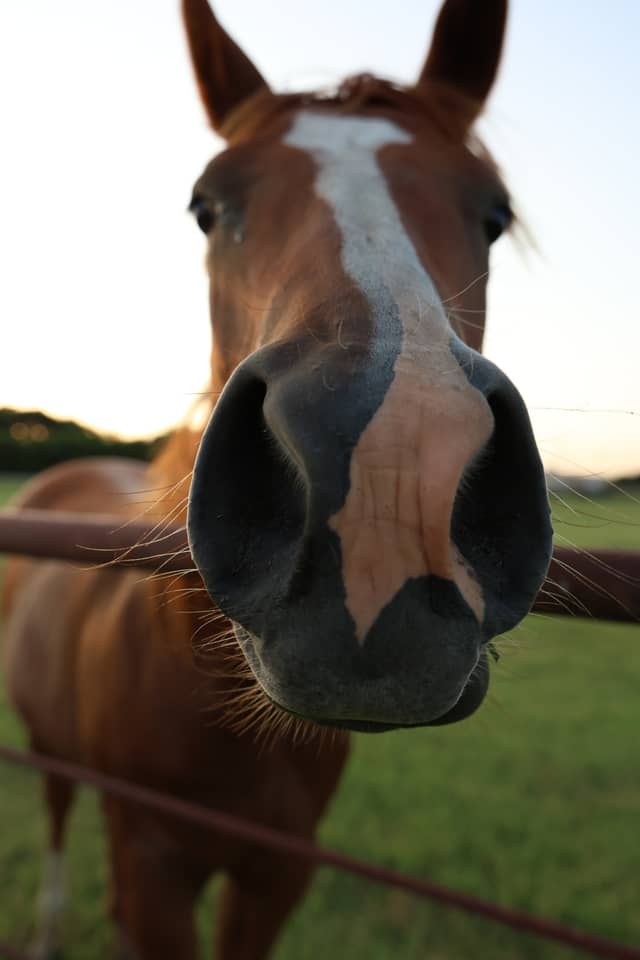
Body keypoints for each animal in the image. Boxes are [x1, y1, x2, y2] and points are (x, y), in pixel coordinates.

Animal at [2, 0, 552, 956]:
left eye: (494, 210)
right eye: (206, 205)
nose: (389, 476)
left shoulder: (277, 874)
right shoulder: (147, 870)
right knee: (59, 813)